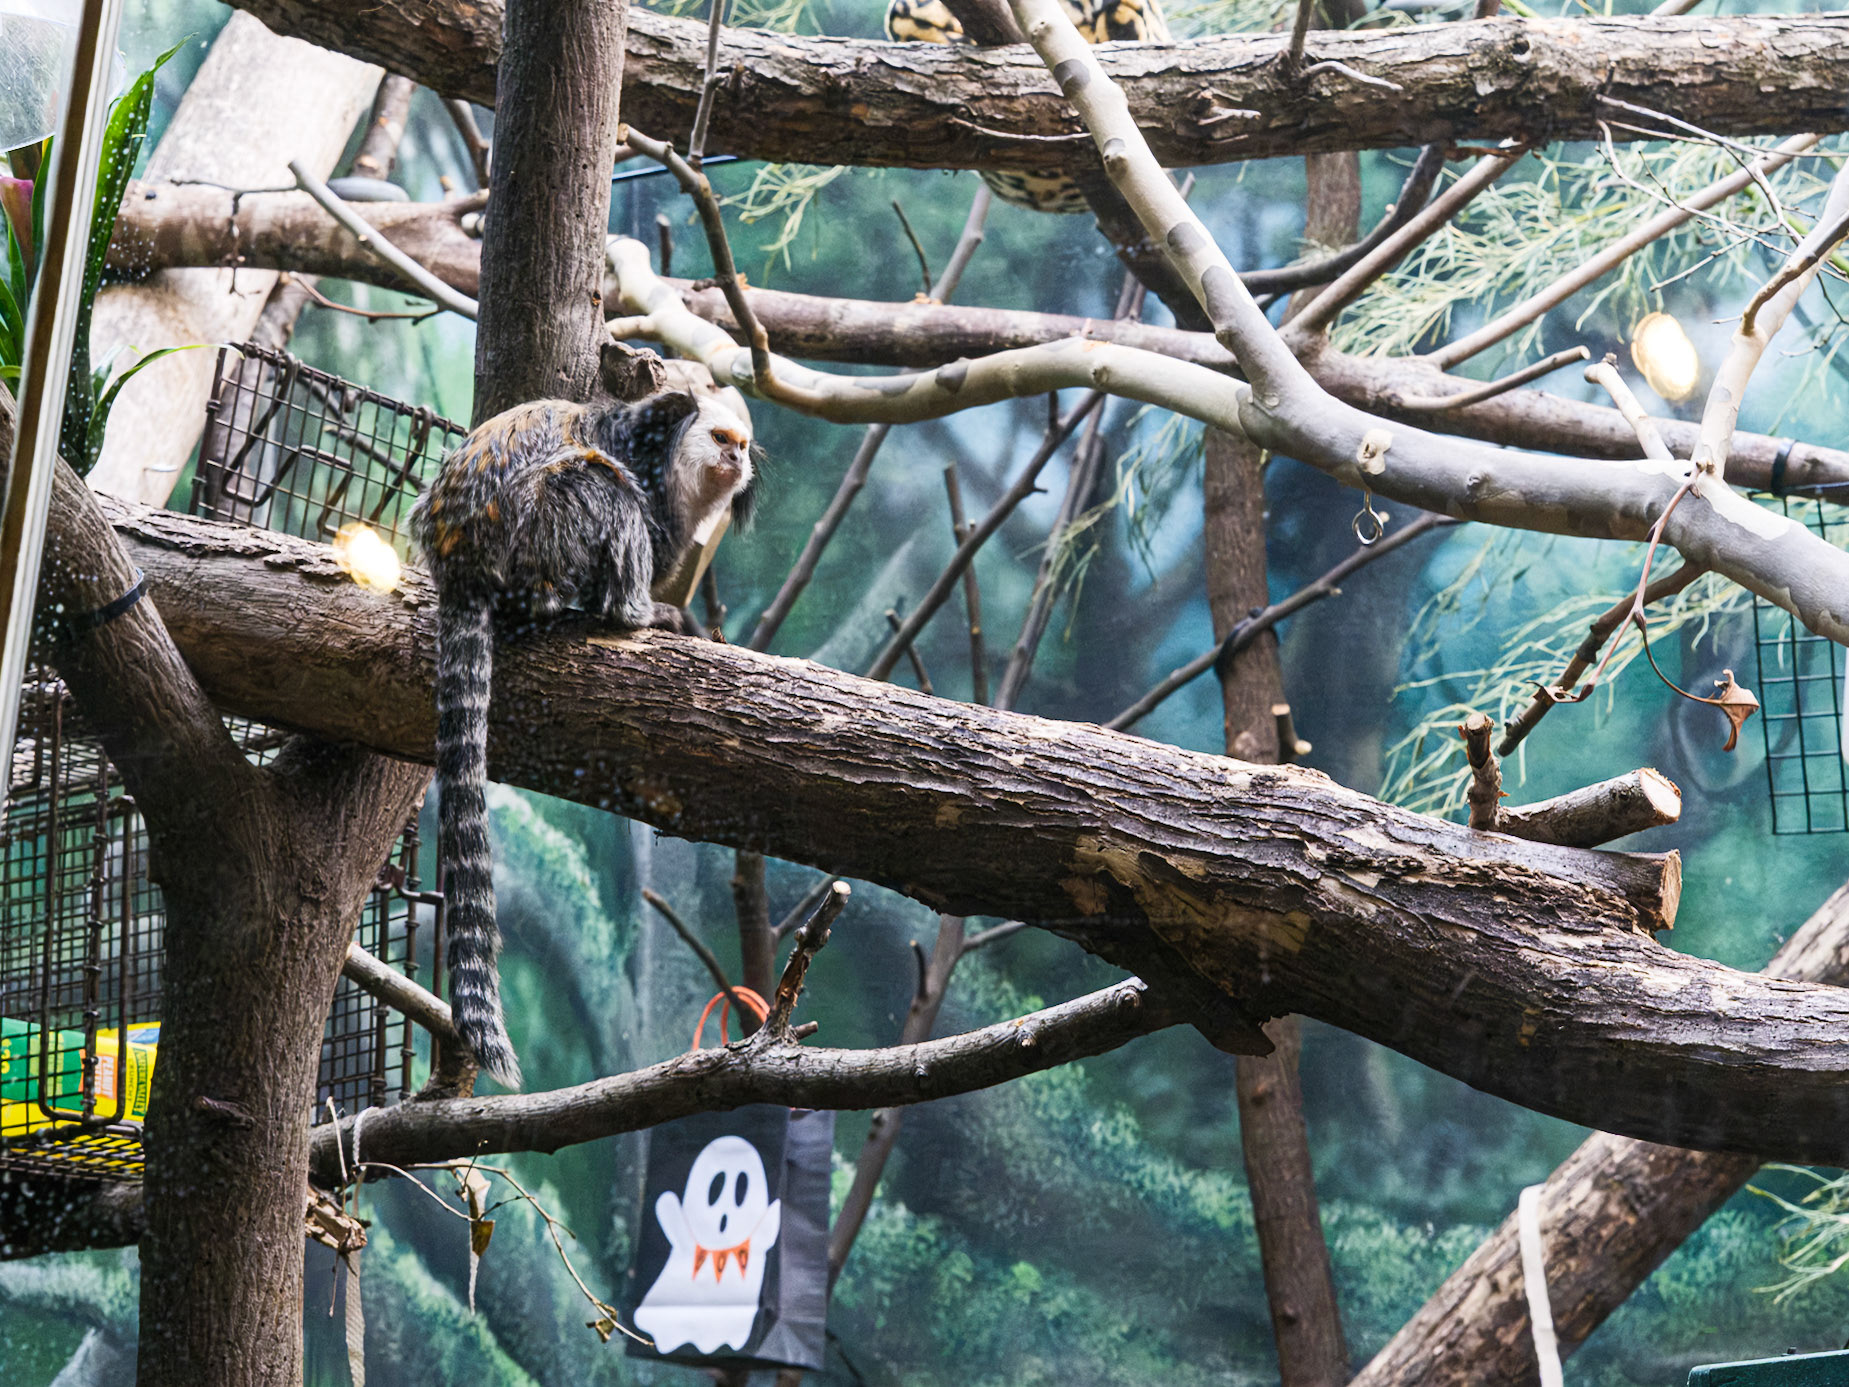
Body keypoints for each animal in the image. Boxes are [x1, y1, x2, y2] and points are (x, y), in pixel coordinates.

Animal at [409, 390, 757, 1086]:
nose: (736, 458)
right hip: (540, 529)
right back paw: (627, 612)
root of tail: (460, 561)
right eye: (719, 438)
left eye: (742, 444)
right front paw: (651, 611)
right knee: (600, 484)